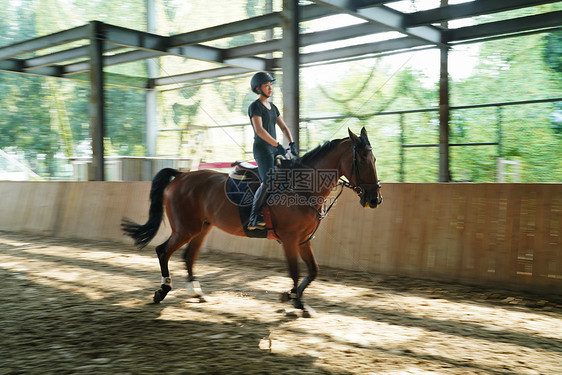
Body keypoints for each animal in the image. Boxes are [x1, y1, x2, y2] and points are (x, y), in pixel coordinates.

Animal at [121, 128, 380, 318]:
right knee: (162, 250)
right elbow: (295, 271)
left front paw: (295, 299)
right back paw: (163, 290)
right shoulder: (290, 240)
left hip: (202, 227)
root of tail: (182, 175)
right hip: (186, 228)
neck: (302, 188)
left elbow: (313, 271)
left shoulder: (303, 240)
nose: (375, 199)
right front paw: (293, 299)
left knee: (188, 257)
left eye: (374, 158)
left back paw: (196, 292)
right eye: (362, 160)